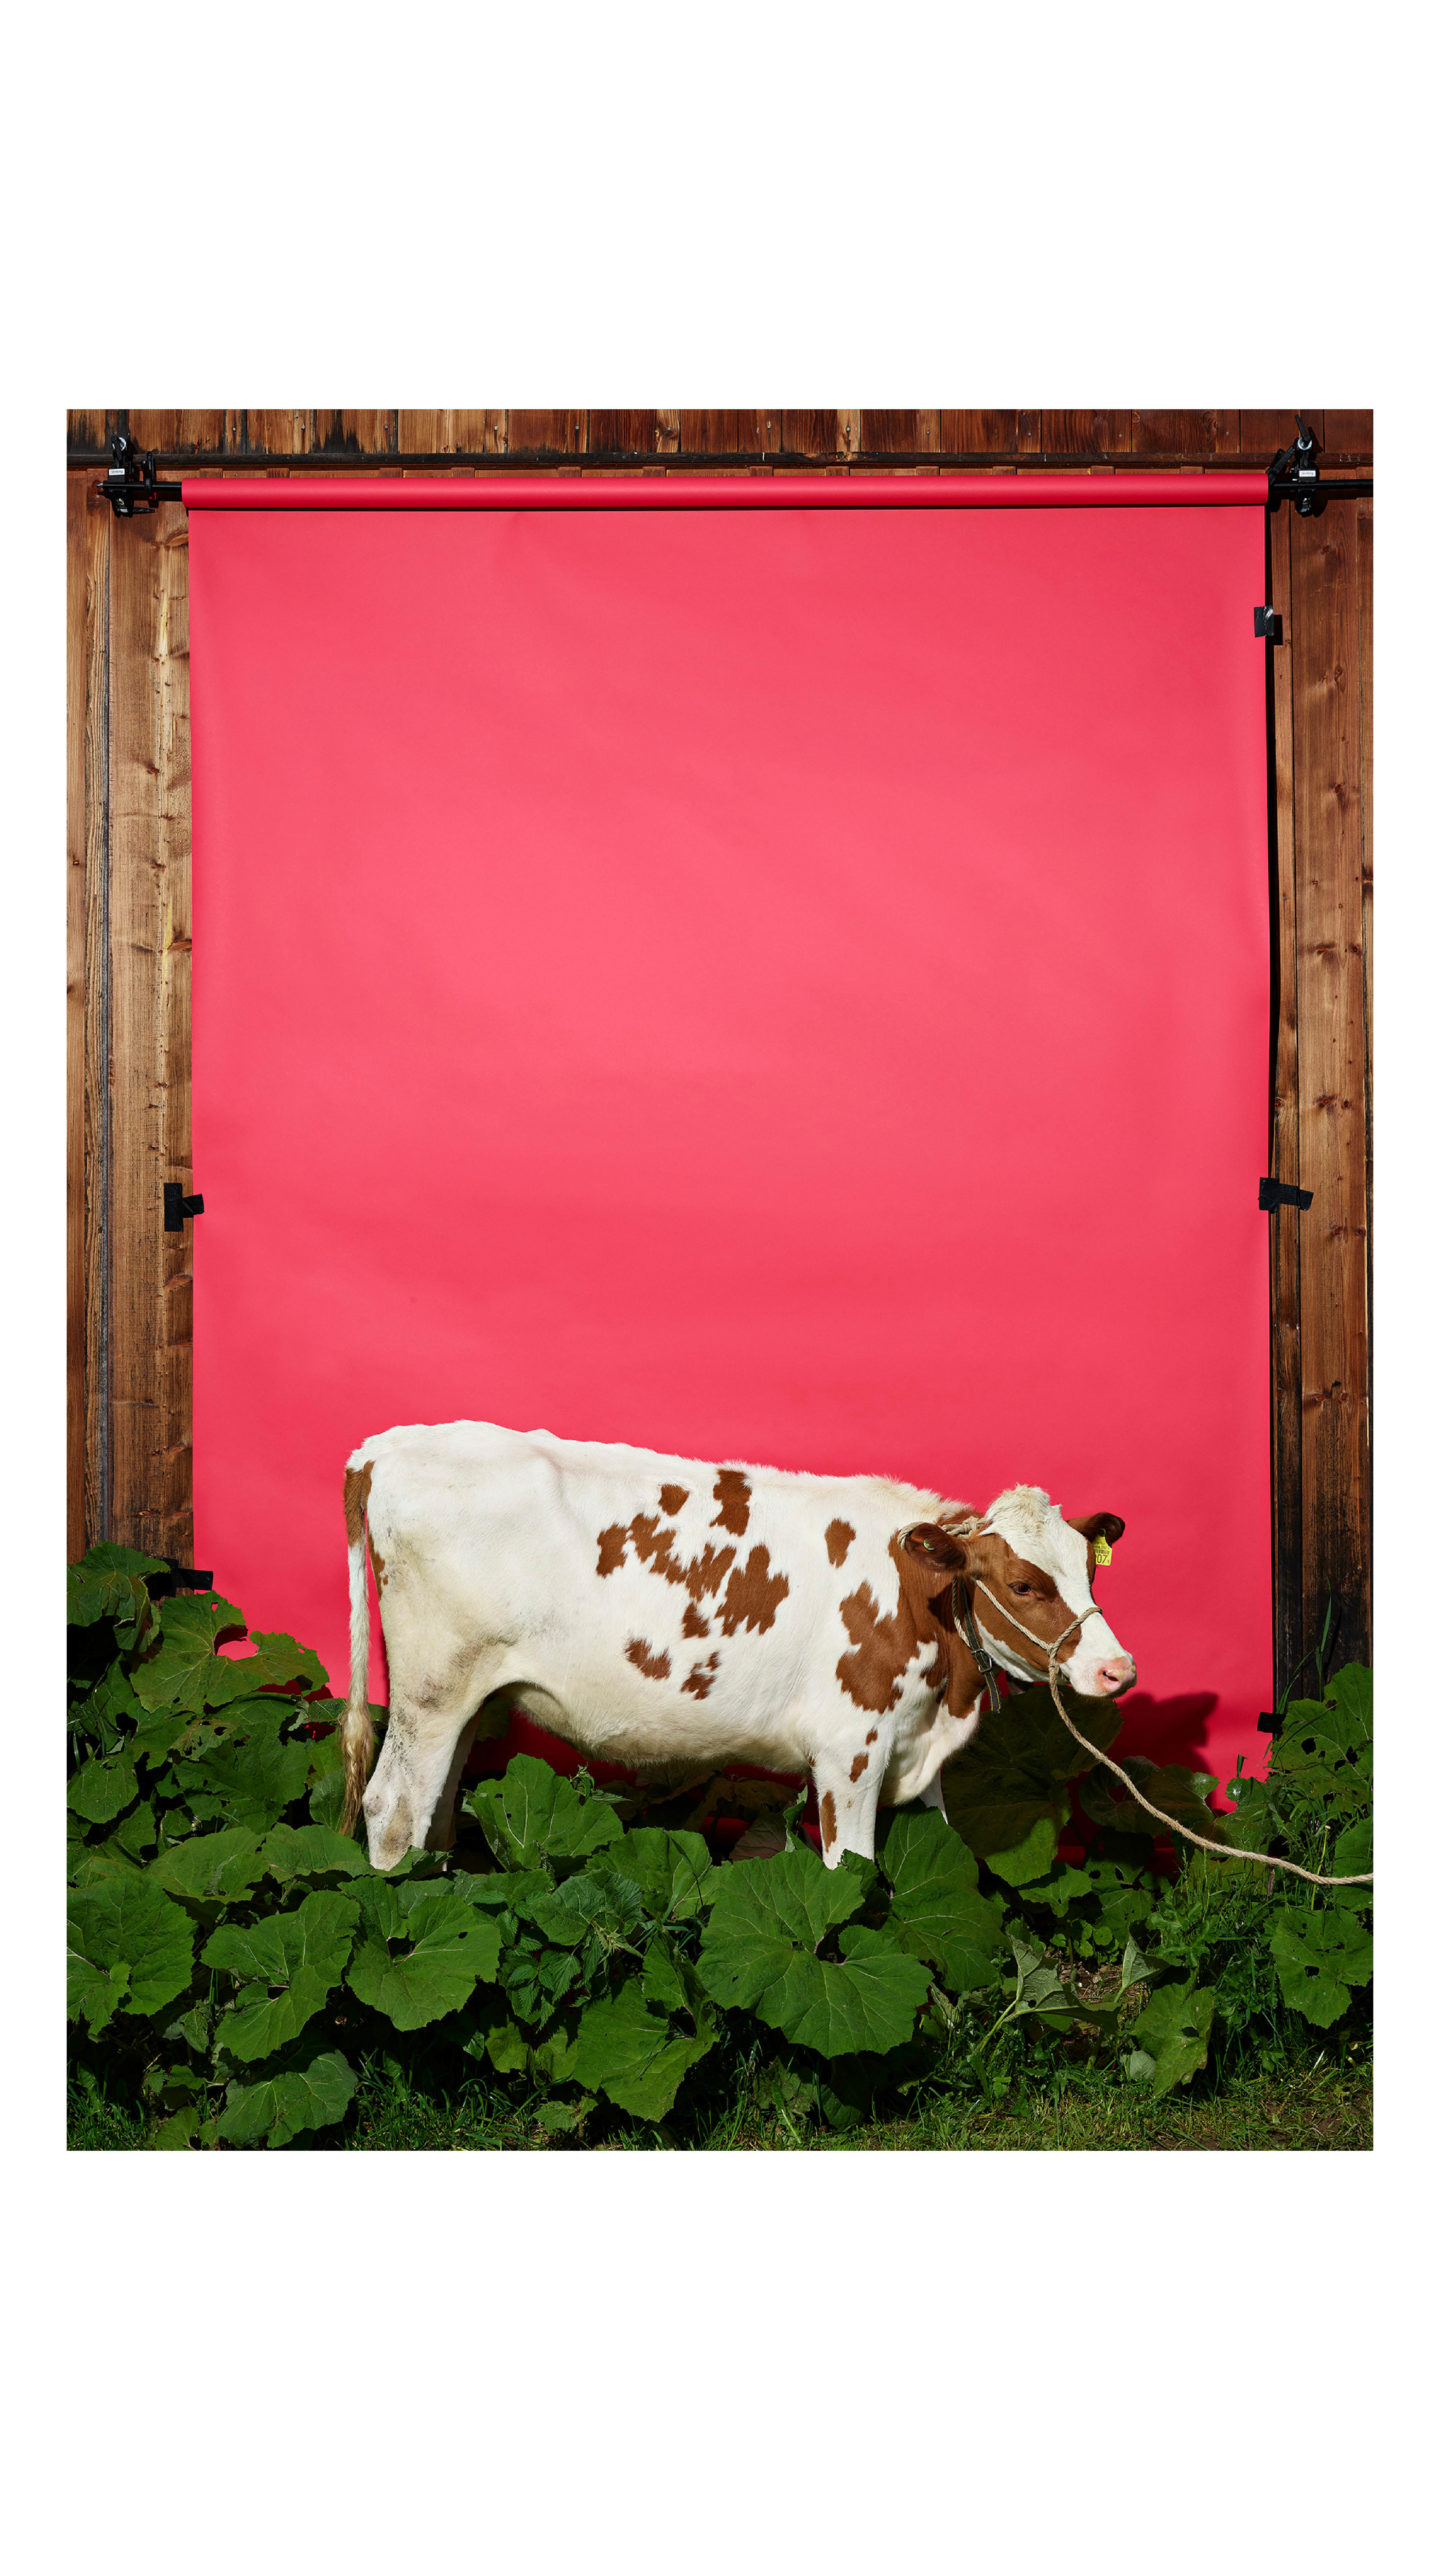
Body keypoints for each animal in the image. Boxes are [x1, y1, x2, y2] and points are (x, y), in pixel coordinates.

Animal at [337, 1421, 1134, 1871]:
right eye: (1024, 1584)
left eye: (1090, 1570)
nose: (1117, 1669)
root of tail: (385, 1447)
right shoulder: (848, 1752)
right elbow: (852, 1875)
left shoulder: (913, 1749)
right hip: (431, 1689)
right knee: (394, 1808)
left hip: (466, 1699)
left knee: (437, 1812)